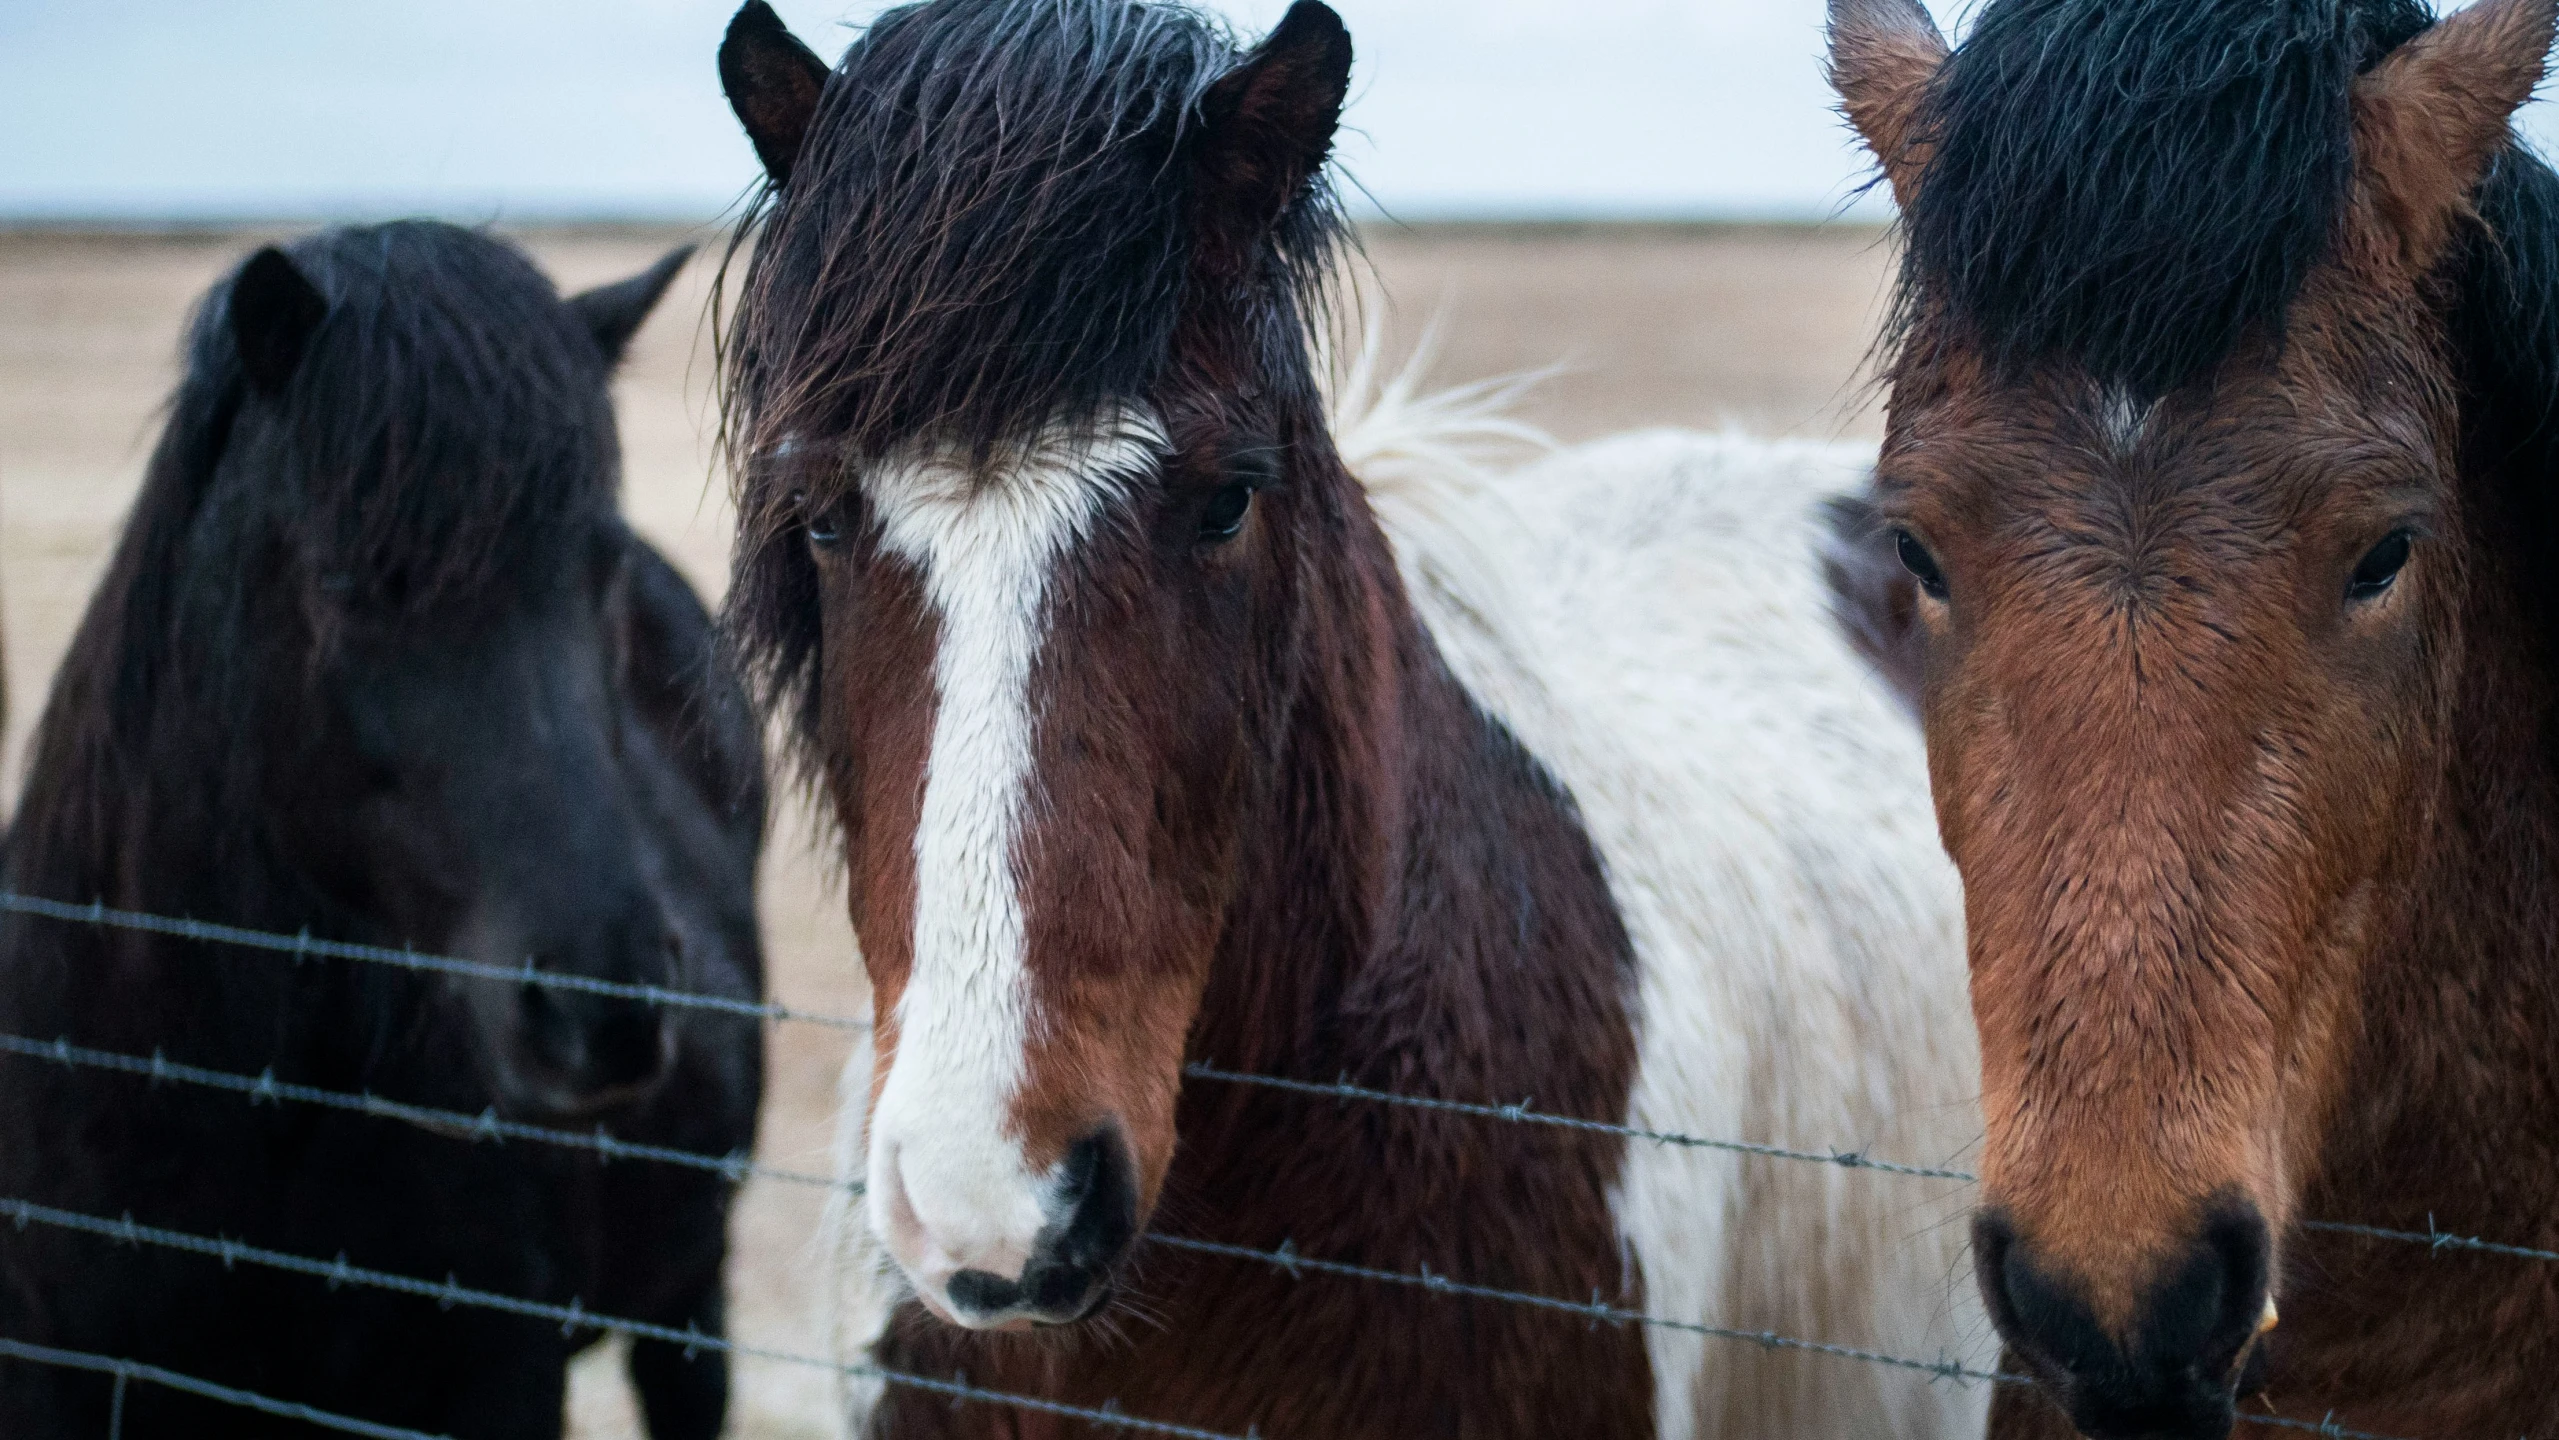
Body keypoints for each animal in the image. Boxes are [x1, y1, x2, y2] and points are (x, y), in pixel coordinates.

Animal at [0, 219, 767, 1432]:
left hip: (689, 1307)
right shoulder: (51, 1370)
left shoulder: (497, 1383)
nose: (601, 1008)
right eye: (351, 581)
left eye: (593, 573)